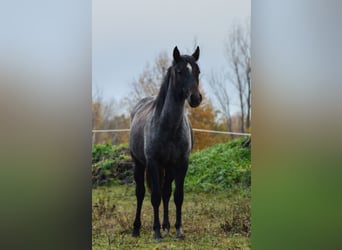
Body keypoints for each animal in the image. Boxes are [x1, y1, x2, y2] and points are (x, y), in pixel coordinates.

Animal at [130, 46, 202, 239]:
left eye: (198, 71)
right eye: (179, 71)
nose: (195, 98)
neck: (168, 126)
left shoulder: (181, 164)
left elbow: (177, 195)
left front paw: (178, 229)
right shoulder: (153, 163)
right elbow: (154, 196)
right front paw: (156, 232)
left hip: (168, 168)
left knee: (166, 192)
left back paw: (166, 226)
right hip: (139, 164)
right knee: (141, 193)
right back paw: (136, 228)